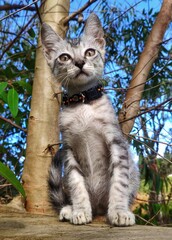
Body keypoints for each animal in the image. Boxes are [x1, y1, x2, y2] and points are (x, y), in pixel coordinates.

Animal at [41, 13, 140, 226]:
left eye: (89, 52)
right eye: (64, 57)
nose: (79, 63)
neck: (83, 102)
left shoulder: (116, 141)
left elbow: (119, 180)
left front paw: (119, 211)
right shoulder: (69, 148)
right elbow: (76, 183)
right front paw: (80, 210)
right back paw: (70, 208)